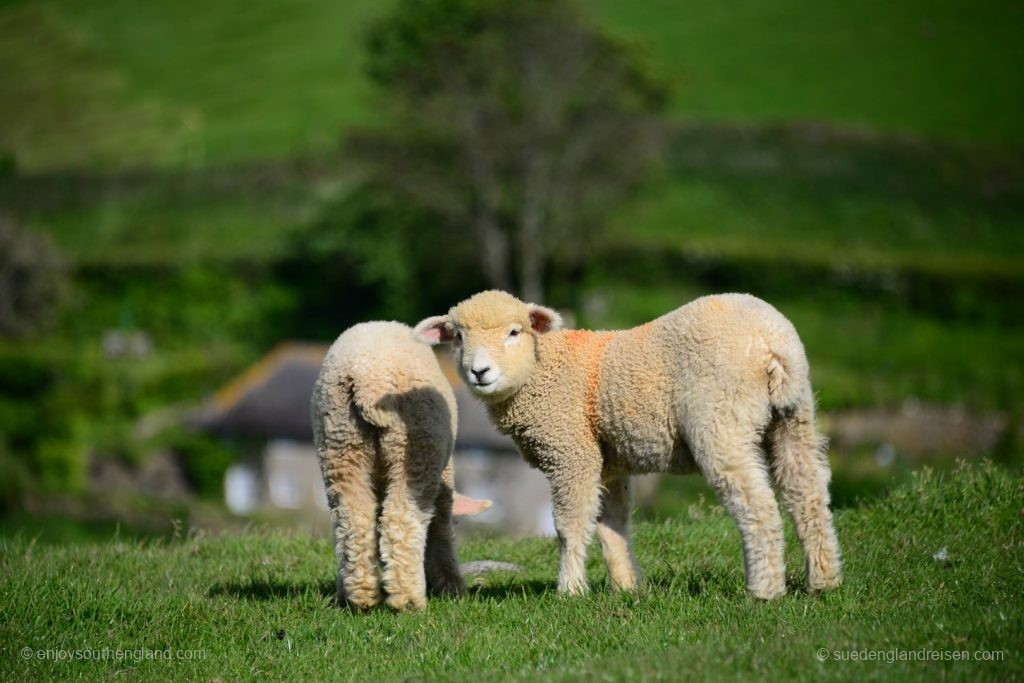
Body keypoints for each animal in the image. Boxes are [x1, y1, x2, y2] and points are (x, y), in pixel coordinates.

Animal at [309, 321, 489, 614]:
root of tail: (369, 379)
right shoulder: (443, 481)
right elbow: (440, 530)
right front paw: (451, 586)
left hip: (339, 440)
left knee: (353, 520)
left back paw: (359, 596)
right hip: (416, 444)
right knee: (401, 519)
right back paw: (408, 600)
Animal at [413, 290, 839, 602]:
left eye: (515, 332)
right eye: (458, 336)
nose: (478, 371)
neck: (543, 369)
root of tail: (773, 341)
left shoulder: (572, 454)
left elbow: (569, 526)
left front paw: (570, 591)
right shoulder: (606, 463)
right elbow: (612, 524)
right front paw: (627, 587)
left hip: (721, 420)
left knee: (759, 506)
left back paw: (765, 590)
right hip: (794, 416)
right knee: (807, 493)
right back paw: (823, 581)